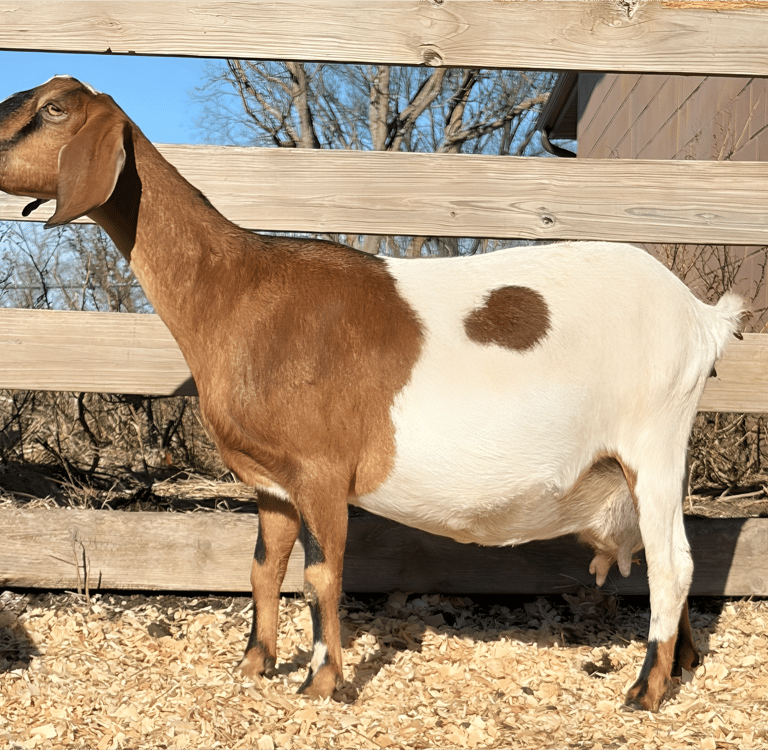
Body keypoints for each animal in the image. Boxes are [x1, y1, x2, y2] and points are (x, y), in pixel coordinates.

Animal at [0, 76, 745, 711]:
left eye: (53, 109)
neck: (239, 292)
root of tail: (701, 318)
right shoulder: (272, 483)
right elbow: (263, 570)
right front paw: (252, 666)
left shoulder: (321, 472)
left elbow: (322, 577)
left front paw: (321, 683)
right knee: (667, 557)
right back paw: (681, 665)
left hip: (654, 440)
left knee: (673, 564)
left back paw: (645, 690)